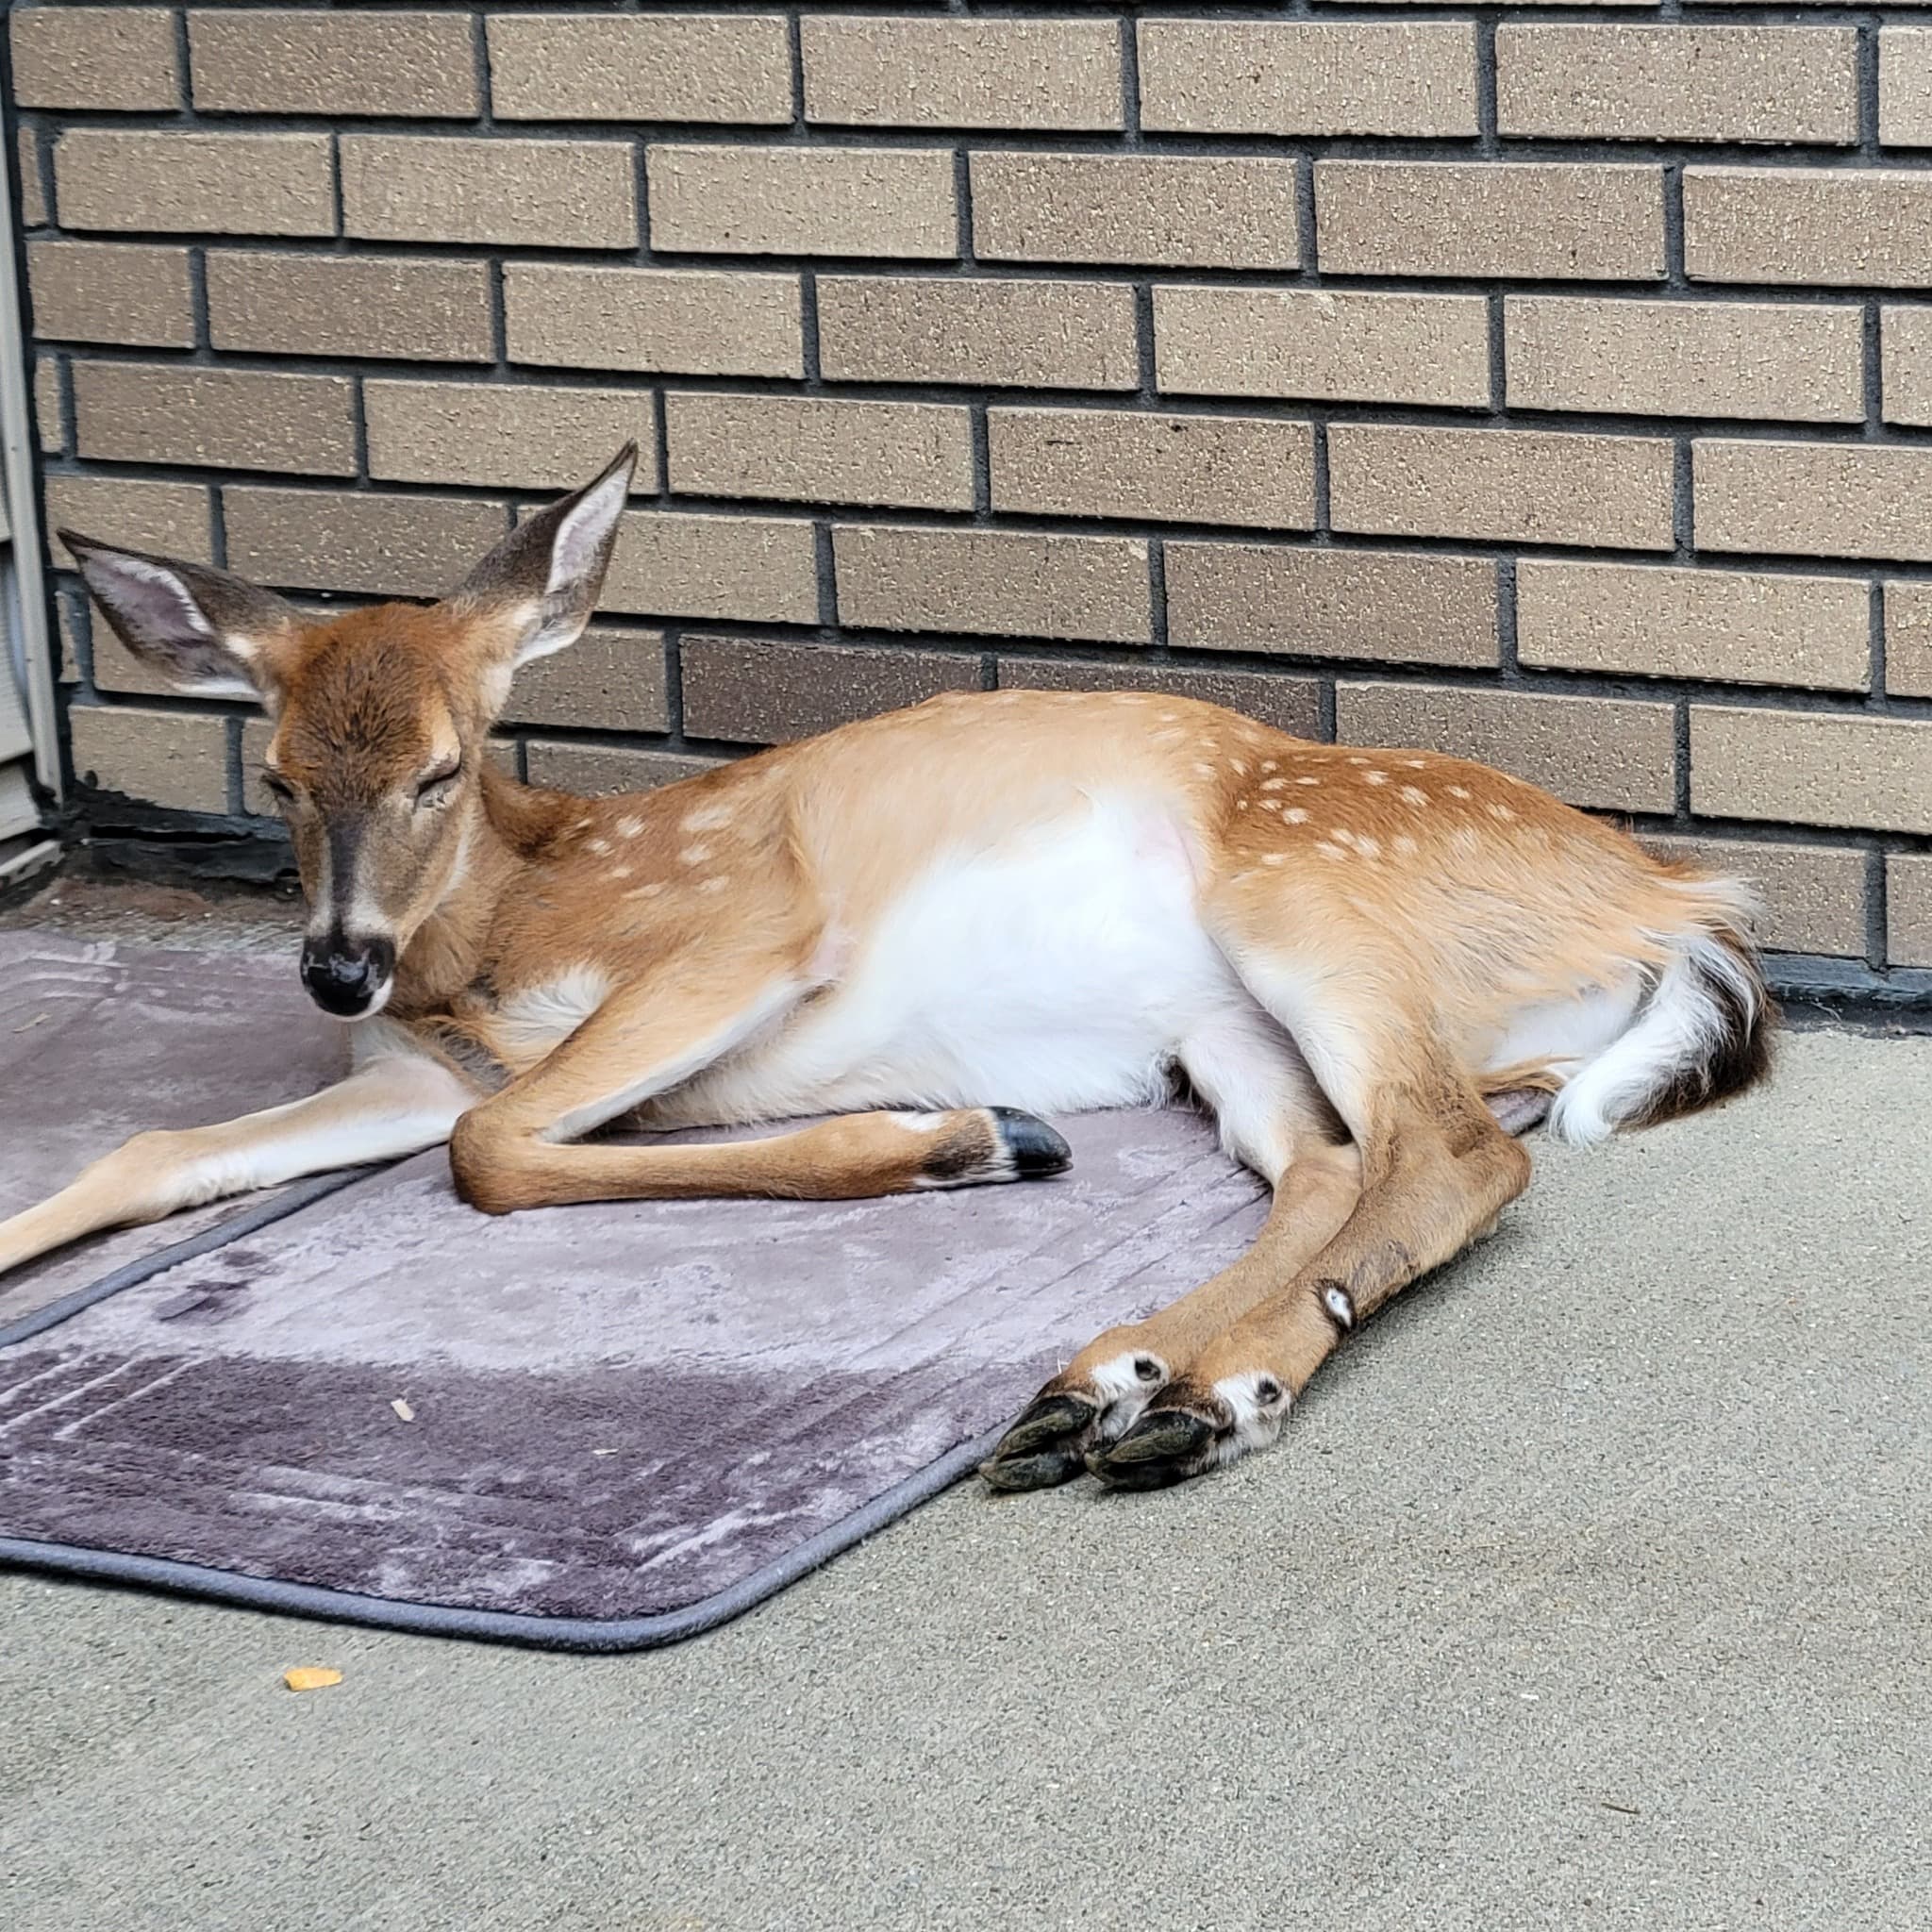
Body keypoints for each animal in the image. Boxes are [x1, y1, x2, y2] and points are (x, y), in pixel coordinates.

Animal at [0, 444, 1773, 1491]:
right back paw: (1129, 1385)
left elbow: (493, 1149)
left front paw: (953, 1139)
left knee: (1456, 1152)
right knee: (1337, 1164)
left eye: (441, 767)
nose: (334, 969)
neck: (494, 940)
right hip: (1221, 1022)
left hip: (1308, 895)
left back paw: (1173, 1382)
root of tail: (1669, 896)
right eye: (279, 774)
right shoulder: (409, 1066)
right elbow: (162, 1147)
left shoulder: (741, 931)